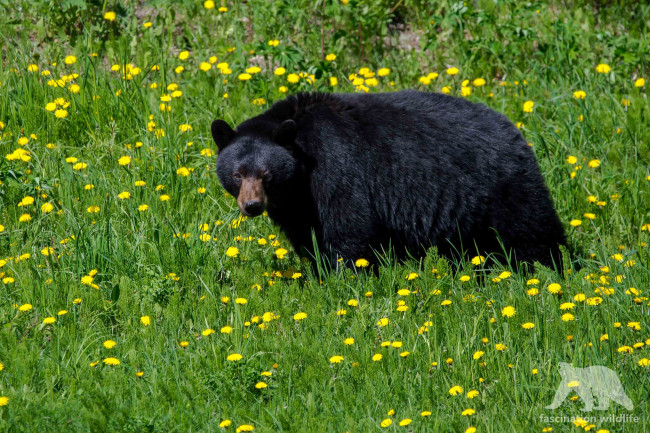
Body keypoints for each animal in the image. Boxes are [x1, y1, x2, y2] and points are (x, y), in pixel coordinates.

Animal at [210, 90, 564, 268]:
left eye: (266, 174)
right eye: (237, 173)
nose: (252, 205)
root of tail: (514, 130)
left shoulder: (336, 165)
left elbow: (349, 227)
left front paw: (346, 277)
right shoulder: (297, 202)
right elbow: (307, 235)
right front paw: (317, 271)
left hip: (502, 185)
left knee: (532, 231)